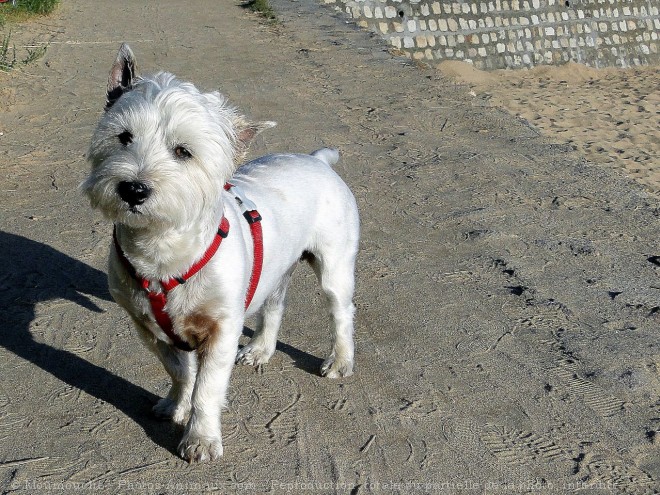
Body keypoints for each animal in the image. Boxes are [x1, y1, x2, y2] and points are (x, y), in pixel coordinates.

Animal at [84, 44, 360, 464]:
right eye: (123, 137)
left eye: (183, 151)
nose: (133, 189)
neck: (162, 253)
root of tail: (317, 158)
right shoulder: (147, 327)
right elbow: (180, 371)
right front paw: (175, 404)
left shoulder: (223, 328)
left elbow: (208, 388)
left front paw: (200, 438)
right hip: (276, 266)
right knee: (275, 305)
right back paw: (261, 349)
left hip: (334, 264)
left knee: (341, 311)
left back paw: (340, 360)